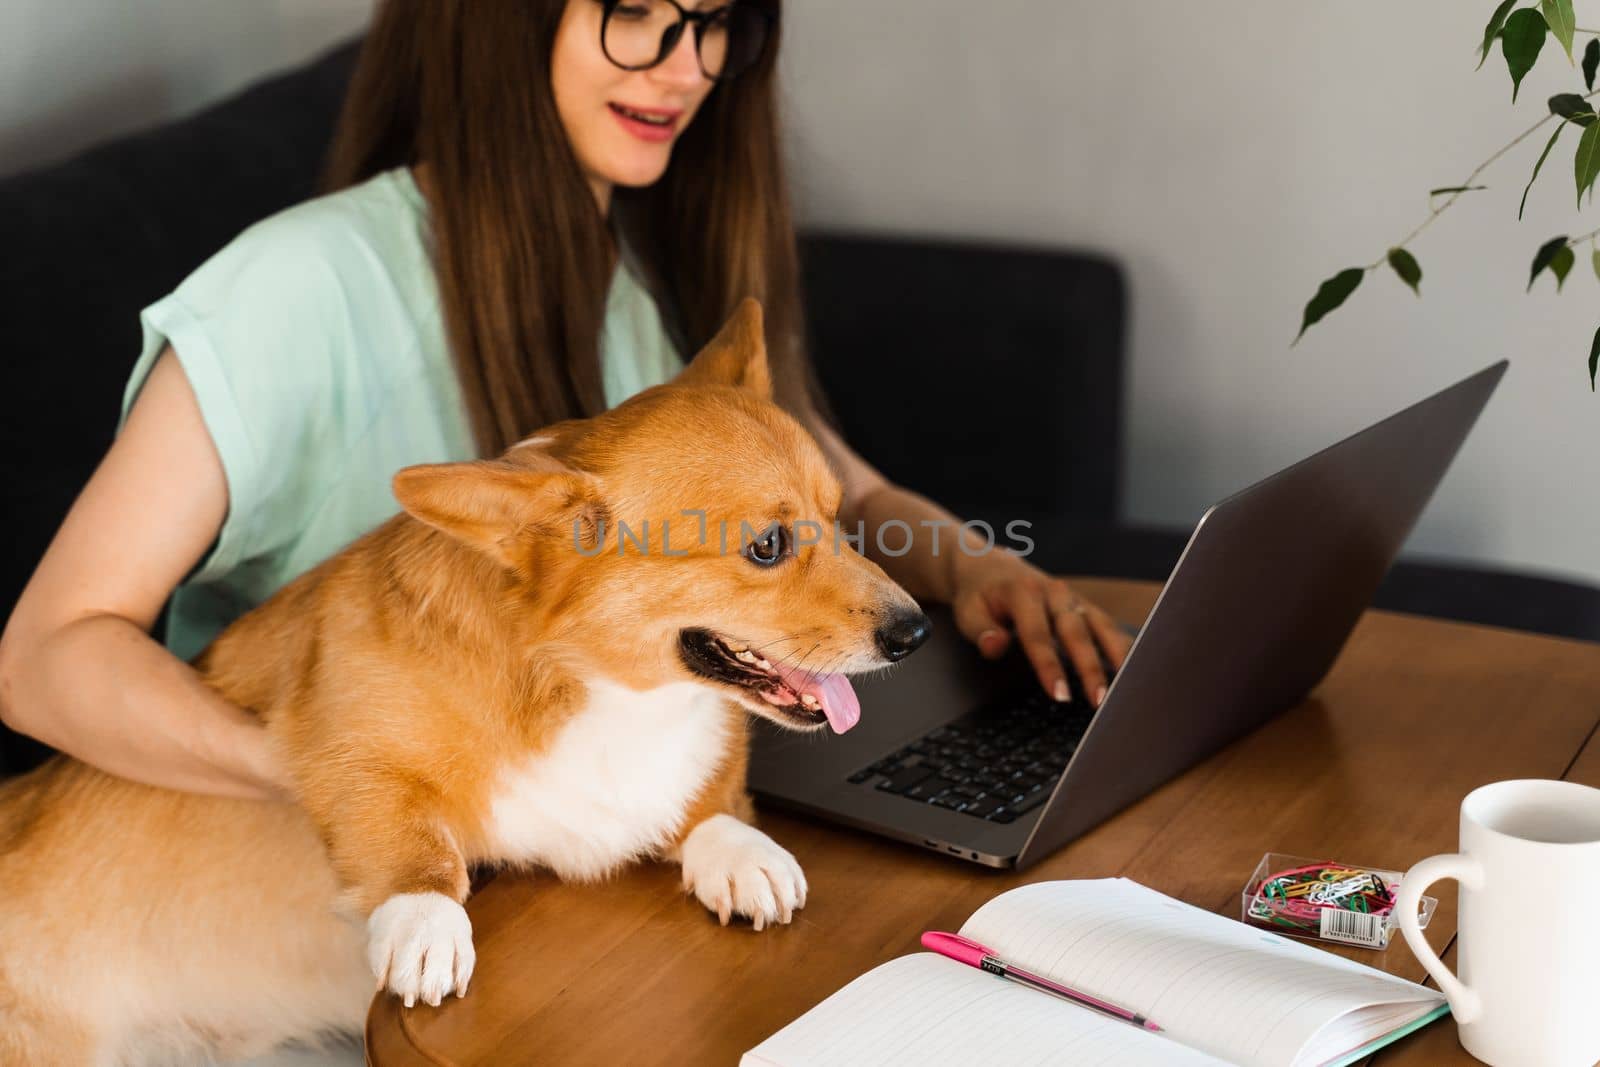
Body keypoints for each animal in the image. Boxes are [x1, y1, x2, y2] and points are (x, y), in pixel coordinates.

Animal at [0, 302, 928, 1067]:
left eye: (839, 516)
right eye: (768, 546)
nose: (914, 633)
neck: (600, 691)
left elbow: (707, 798)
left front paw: (737, 850)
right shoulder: (333, 733)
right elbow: (406, 830)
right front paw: (425, 918)